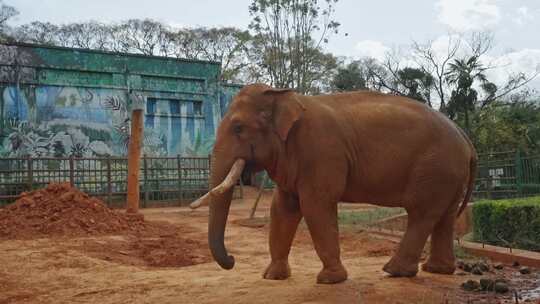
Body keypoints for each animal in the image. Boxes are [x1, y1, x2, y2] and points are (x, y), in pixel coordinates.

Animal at [201, 82, 476, 282]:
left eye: (238, 128)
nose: (232, 259)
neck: (283, 95)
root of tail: (465, 137)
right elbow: (282, 208)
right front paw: (272, 277)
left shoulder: (321, 151)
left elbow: (315, 206)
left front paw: (329, 280)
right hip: (448, 173)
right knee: (445, 216)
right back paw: (436, 270)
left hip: (435, 168)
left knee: (422, 213)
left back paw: (394, 271)